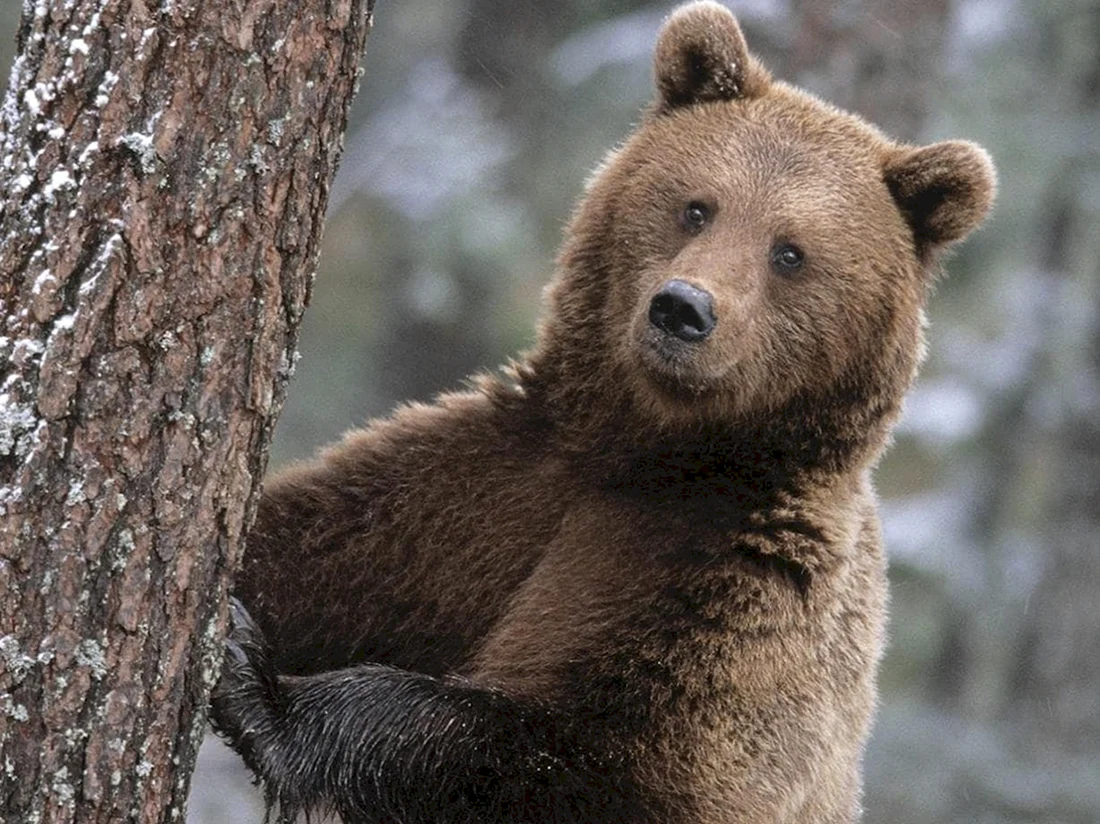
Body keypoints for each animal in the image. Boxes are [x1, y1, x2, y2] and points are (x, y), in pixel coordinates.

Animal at [209, 3, 996, 823]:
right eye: (696, 206)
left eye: (790, 252)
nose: (683, 309)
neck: (649, 449)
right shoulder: (479, 491)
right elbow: (314, 543)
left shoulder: (734, 589)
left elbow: (591, 762)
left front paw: (259, 688)